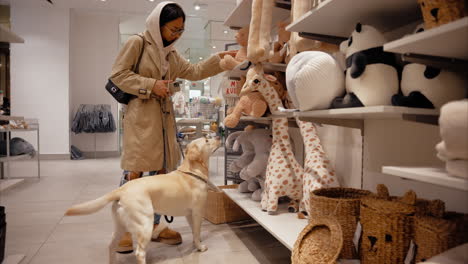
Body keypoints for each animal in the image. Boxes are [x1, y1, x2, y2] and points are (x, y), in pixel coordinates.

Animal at [64, 137, 221, 264]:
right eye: (207, 140)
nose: (219, 136)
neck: (192, 171)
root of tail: (122, 189)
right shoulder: (198, 211)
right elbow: (197, 231)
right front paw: (200, 247)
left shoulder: (189, 214)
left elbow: (195, 231)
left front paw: (196, 244)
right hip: (145, 224)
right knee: (139, 253)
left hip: (120, 226)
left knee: (111, 246)